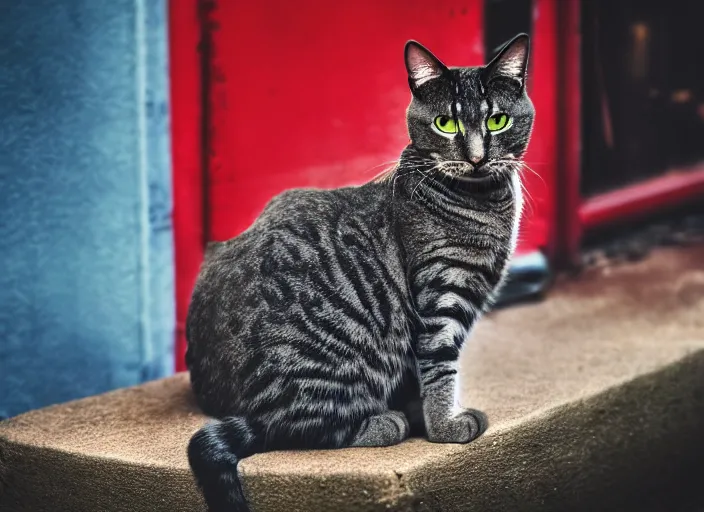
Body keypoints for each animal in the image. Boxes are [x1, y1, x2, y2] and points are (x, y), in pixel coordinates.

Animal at [187, 34, 532, 510]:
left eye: (497, 120)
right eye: (446, 124)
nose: (478, 157)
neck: (482, 200)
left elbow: (419, 375)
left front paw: (424, 415)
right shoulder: (441, 295)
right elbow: (440, 366)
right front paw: (444, 427)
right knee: (293, 425)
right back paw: (381, 422)